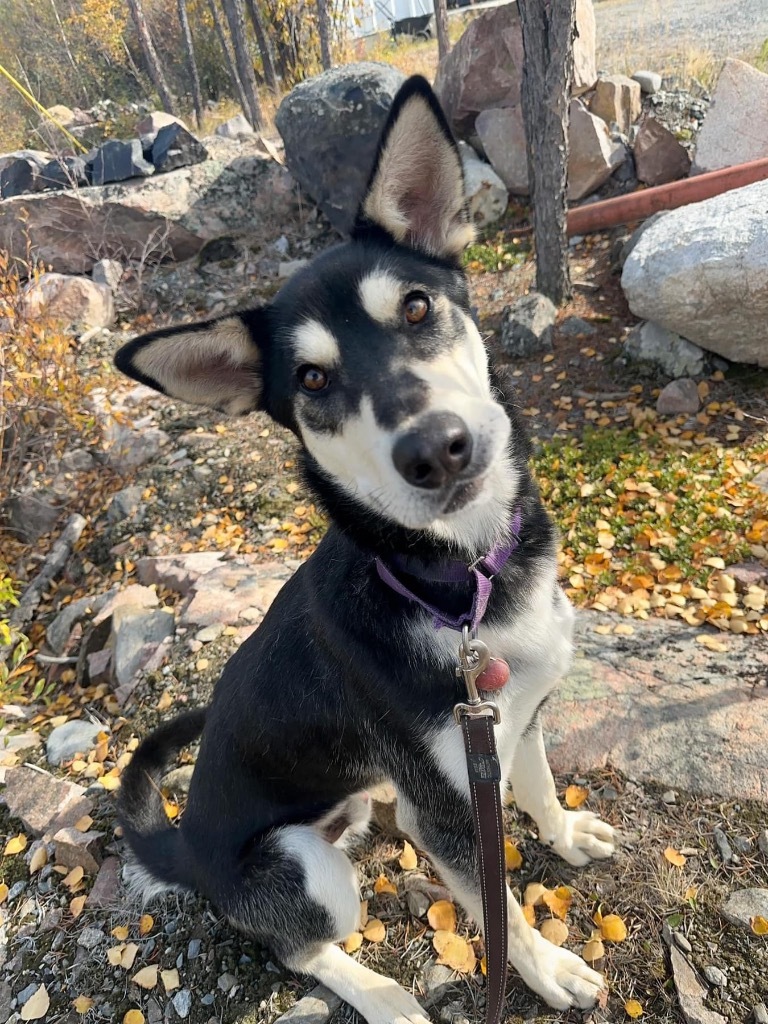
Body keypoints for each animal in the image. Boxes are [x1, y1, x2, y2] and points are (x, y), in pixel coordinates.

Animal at [114, 75, 618, 1019]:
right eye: (312, 379)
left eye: (416, 307)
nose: (437, 449)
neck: (456, 583)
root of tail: (188, 851)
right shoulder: (449, 813)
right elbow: (500, 909)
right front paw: (548, 968)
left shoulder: (516, 722)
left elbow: (534, 787)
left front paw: (565, 833)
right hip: (302, 866)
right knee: (298, 950)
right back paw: (382, 996)